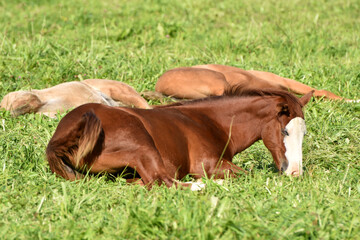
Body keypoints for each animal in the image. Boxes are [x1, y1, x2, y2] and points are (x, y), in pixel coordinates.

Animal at [47, 86, 312, 189]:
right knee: (164, 182)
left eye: (304, 133)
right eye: (284, 131)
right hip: (142, 146)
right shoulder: (209, 165)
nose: (295, 173)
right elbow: (249, 174)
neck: (209, 122)